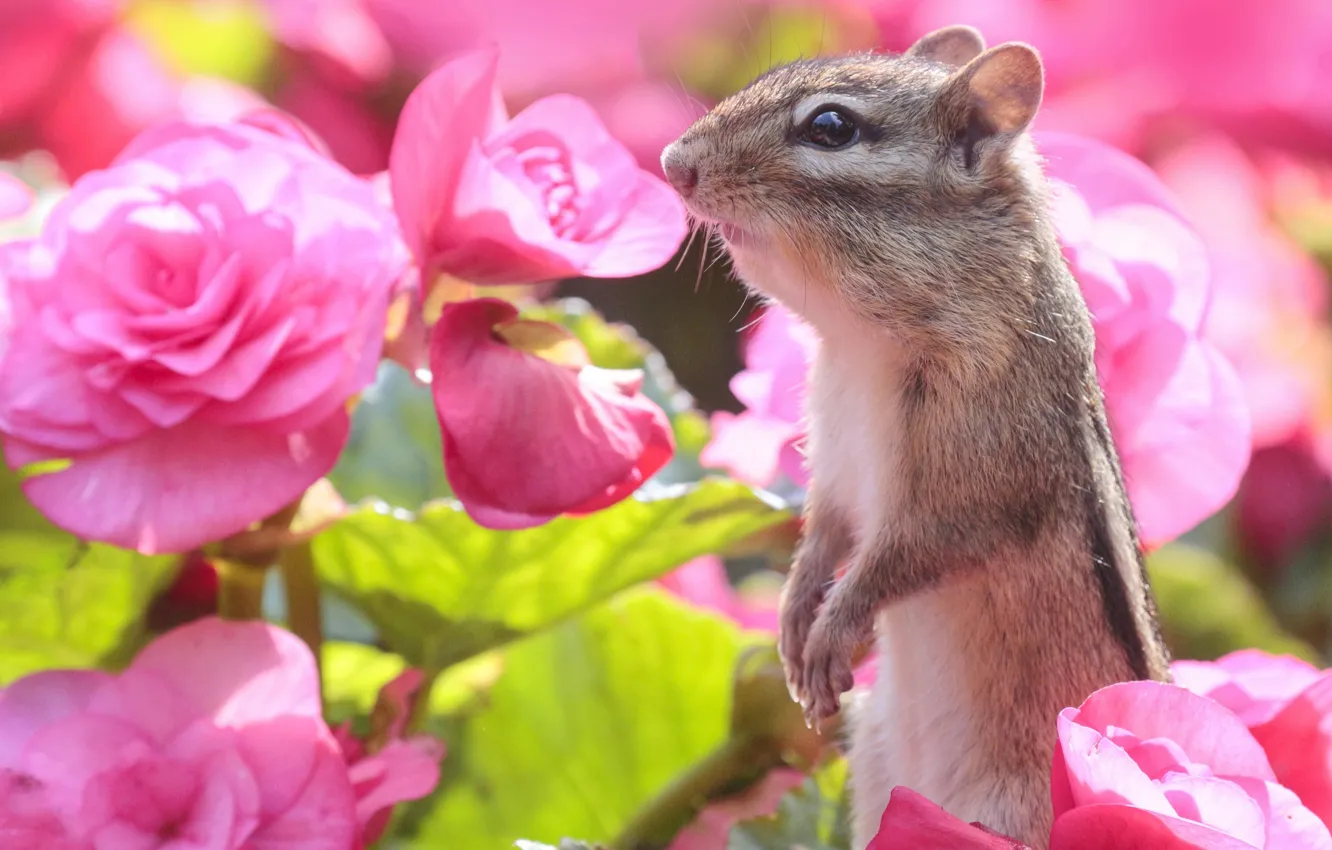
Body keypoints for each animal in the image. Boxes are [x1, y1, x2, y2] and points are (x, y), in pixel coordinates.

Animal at [660, 25, 1171, 850]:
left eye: (830, 127)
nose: (674, 163)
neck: (860, 346)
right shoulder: (836, 462)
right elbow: (827, 532)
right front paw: (795, 616)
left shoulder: (968, 484)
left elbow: (907, 554)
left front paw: (834, 628)